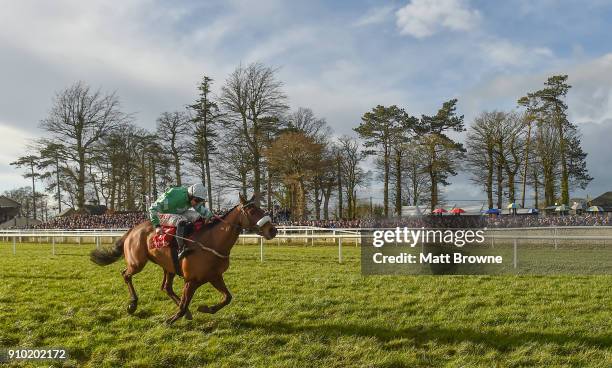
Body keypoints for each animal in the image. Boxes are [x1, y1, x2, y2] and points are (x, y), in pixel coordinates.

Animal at [91, 194, 278, 324]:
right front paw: (170, 320)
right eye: (252, 211)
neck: (212, 242)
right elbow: (184, 303)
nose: (273, 230)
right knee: (126, 274)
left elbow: (227, 298)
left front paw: (205, 308)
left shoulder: (215, 276)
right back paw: (133, 304)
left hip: (169, 267)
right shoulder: (192, 280)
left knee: (166, 287)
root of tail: (133, 229)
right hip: (137, 262)